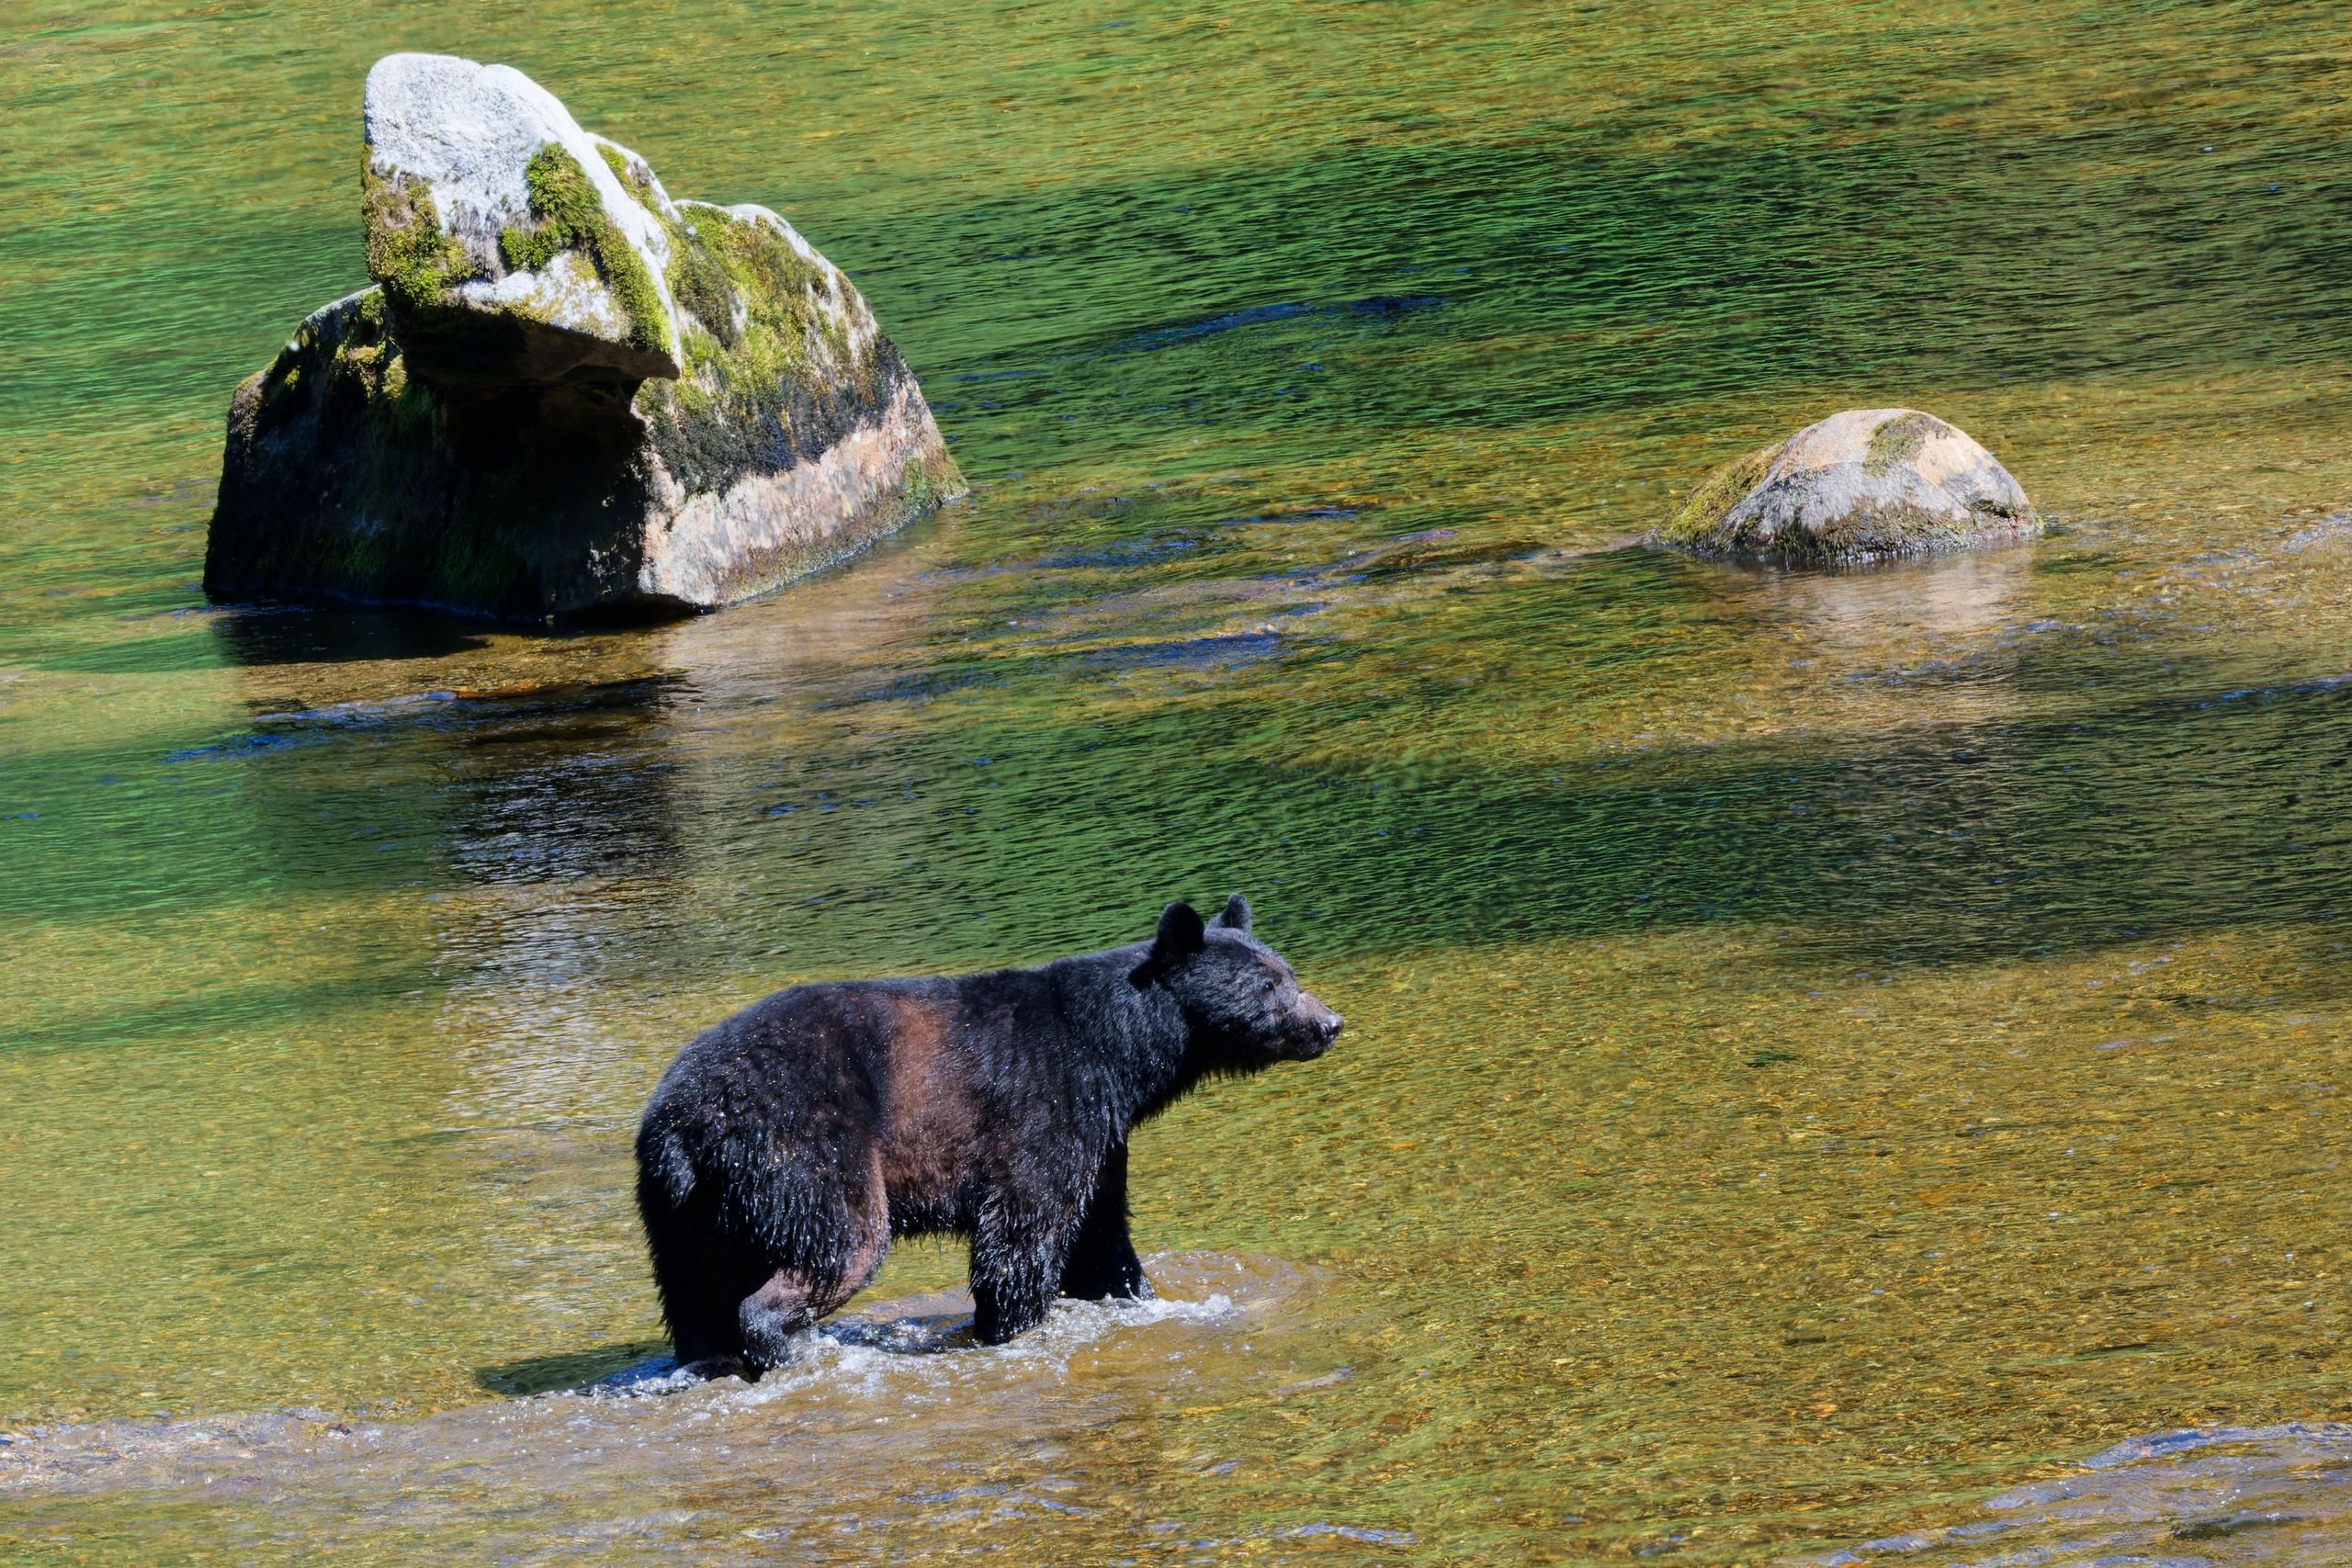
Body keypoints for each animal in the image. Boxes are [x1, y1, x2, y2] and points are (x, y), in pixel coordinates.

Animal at [633, 894, 1342, 1374]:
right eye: (1269, 985)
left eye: (1289, 971)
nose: (1329, 1023)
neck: (1117, 1055)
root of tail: (682, 1119)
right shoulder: (1043, 1107)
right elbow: (1022, 1233)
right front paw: (1011, 1324)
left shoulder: (1100, 1136)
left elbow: (1101, 1233)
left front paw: (1141, 1296)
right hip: (804, 1146)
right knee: (841, 1243)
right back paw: (784, 1343)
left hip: (682, 1206)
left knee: (694, 1294)